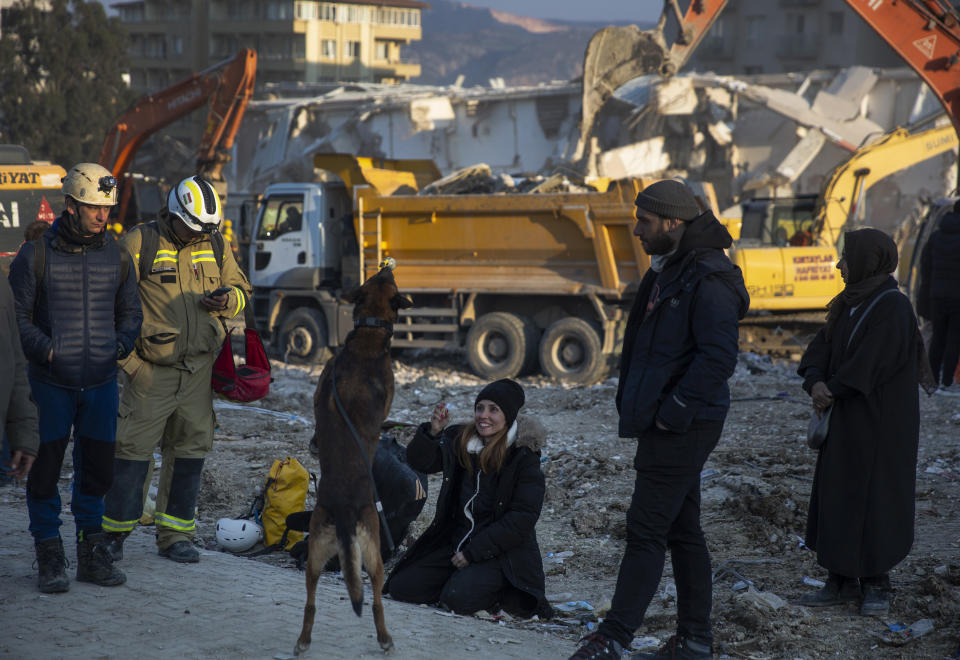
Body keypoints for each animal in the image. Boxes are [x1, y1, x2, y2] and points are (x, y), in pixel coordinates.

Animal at [294, 262, 410, 656]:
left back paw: (303, 640)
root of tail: (344, 514)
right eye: (387, 280)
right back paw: (386, 638)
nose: (387, 264)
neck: (366, 340)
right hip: (373, 555)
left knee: (310, 601)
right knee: (375, 599)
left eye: (377, 278)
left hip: (314, 554)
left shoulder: (320, 387)